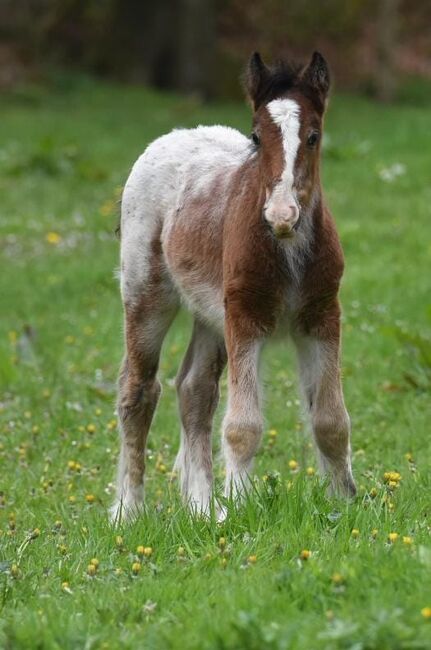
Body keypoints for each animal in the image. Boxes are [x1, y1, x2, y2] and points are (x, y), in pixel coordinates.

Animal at [111, 50, 358, 520]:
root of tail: (176, 135)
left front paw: (346, 503)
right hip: (146, 291)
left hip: (211, 311)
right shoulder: (246, 315)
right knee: (138, 390)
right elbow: (243, 425)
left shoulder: (321, 316)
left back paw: (204, 509)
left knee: (194, 389)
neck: (287, 248)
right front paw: (242, 506)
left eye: (313, 136)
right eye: (256, 137)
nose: (281, 214)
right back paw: (128, 512)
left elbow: (331, 420)